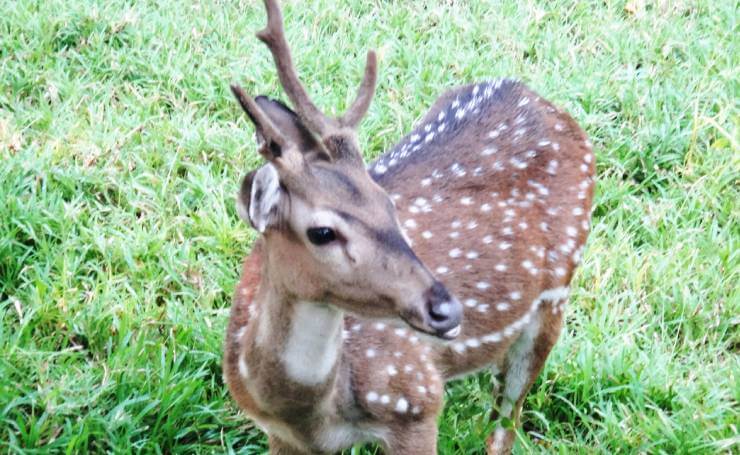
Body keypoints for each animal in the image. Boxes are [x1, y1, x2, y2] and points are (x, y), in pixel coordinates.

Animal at [221, 1, 596, 454]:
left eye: (388, 204)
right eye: (322, 232)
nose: (445, 308)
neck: (311, 416)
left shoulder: (415, 401)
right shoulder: (278, 433)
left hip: (556, 291)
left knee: (507, 421)